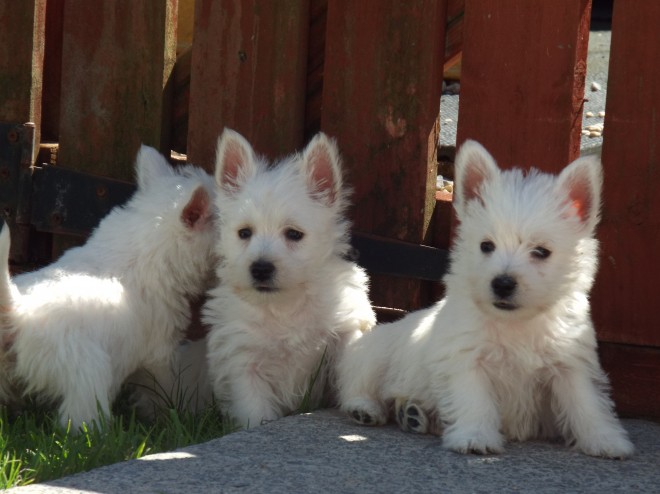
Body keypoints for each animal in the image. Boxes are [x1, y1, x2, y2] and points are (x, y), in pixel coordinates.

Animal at [0, 147, 215, 428]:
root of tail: (16, 311)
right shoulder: (159, 351)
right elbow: (165, 385)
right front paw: (177, 412)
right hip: (89, 370)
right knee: (80, 415)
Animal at [204, 128, 374, 428]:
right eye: (244, 233)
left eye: (294, 234)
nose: (260, 268)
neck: (284, 305)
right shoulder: (243, 358)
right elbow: (254, 406)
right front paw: (257, 427)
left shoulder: (346, 331)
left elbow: (352, 369)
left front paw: (360, 405)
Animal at [340, 140, 636, 460]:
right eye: (486, 246)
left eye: (541, 251)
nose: (502, 283)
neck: (516, 323)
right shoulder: (468, 359)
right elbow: (474, 400)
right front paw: (475, 437)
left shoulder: (570, 364)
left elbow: (586, 403)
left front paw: (605, 439)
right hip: (374, 354)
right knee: (356, 385)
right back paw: (365, 409)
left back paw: (414, 415)